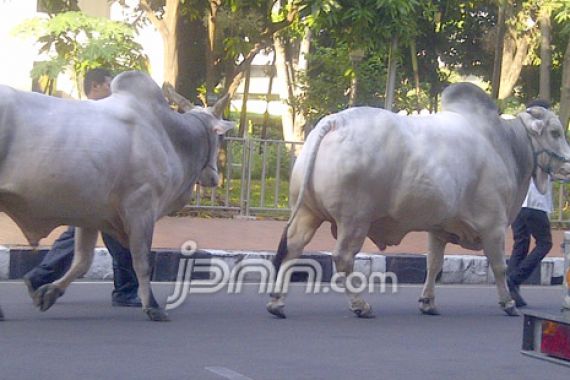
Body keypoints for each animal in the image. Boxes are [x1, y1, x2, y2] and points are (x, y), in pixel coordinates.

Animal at [0, 71, 233, 320]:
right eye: (220, 139)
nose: (214, 178)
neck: (171, 136)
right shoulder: (141, 208)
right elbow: (141, 261)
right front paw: (152, 306)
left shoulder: (89, 214)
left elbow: (82, 261)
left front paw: (49, 292)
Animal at [268, 82, 568, 318]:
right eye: (555, 132)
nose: (567, 163)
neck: (506, 144)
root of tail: (335, 122)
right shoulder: (492, 225)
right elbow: (499, 266)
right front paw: (508, 303)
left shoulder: (439, 228)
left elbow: (434, 264)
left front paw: (428, 302)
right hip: (354, 220)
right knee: (342, 258)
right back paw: (361, 306)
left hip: (308, 212)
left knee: (292, 249)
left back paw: (277, 303)